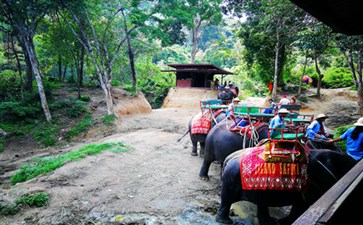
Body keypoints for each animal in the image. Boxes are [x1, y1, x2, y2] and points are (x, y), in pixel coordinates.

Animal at [216, 149, 358, 224]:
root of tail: (229, 158)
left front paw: (281, 222)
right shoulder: (316, 184)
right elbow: (302, 206)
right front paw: (285, 222)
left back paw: (270, 221)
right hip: (232, 180)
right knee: (227, 199)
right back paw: (226, 222)